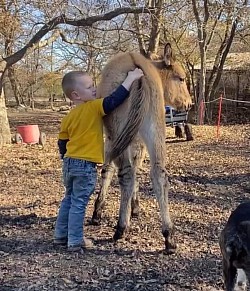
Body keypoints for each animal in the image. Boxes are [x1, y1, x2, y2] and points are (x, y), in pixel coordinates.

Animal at [91, 44, 192, 256]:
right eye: (181, 78)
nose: (188, 104)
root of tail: (139, 72)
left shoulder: (116, 140)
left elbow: (109, 170)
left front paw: (99, 211)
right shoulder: (136, 141)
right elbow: (134, 169)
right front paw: (133, 206)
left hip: (120, 136)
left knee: (126, 174)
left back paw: (121, 227)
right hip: (155, 132)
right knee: (159, 175)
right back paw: (169, 237)